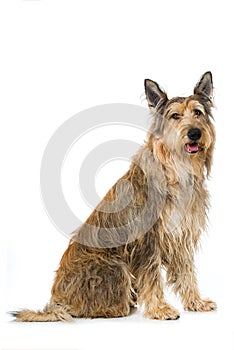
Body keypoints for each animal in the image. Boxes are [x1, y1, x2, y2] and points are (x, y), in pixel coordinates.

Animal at [12, 72, 217, 322]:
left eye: (197, 113)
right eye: (175, 116)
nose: (195, 133)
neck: (176, 169)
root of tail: (59, 301)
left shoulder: (182, 237)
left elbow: (187, 273)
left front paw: (196, 302)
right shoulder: (148, 239)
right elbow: (151, 275)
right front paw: (160, 308)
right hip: (115, 266)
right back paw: (121, 307)